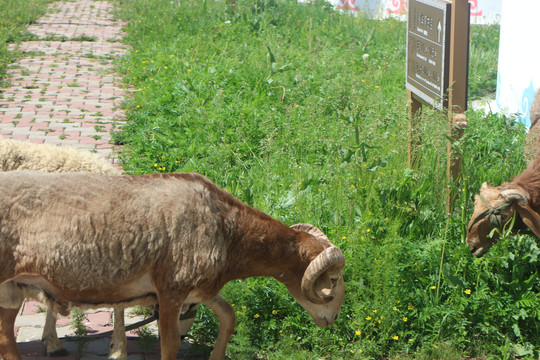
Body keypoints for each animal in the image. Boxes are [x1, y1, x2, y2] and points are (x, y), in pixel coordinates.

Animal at [0, 172, 346, 360]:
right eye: (333, 279)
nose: (331, 320)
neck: (227, 230)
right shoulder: (171, 290)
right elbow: (169, 348)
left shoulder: (199, 290)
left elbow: (229, 316)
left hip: (10, 290)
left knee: (6, 340)